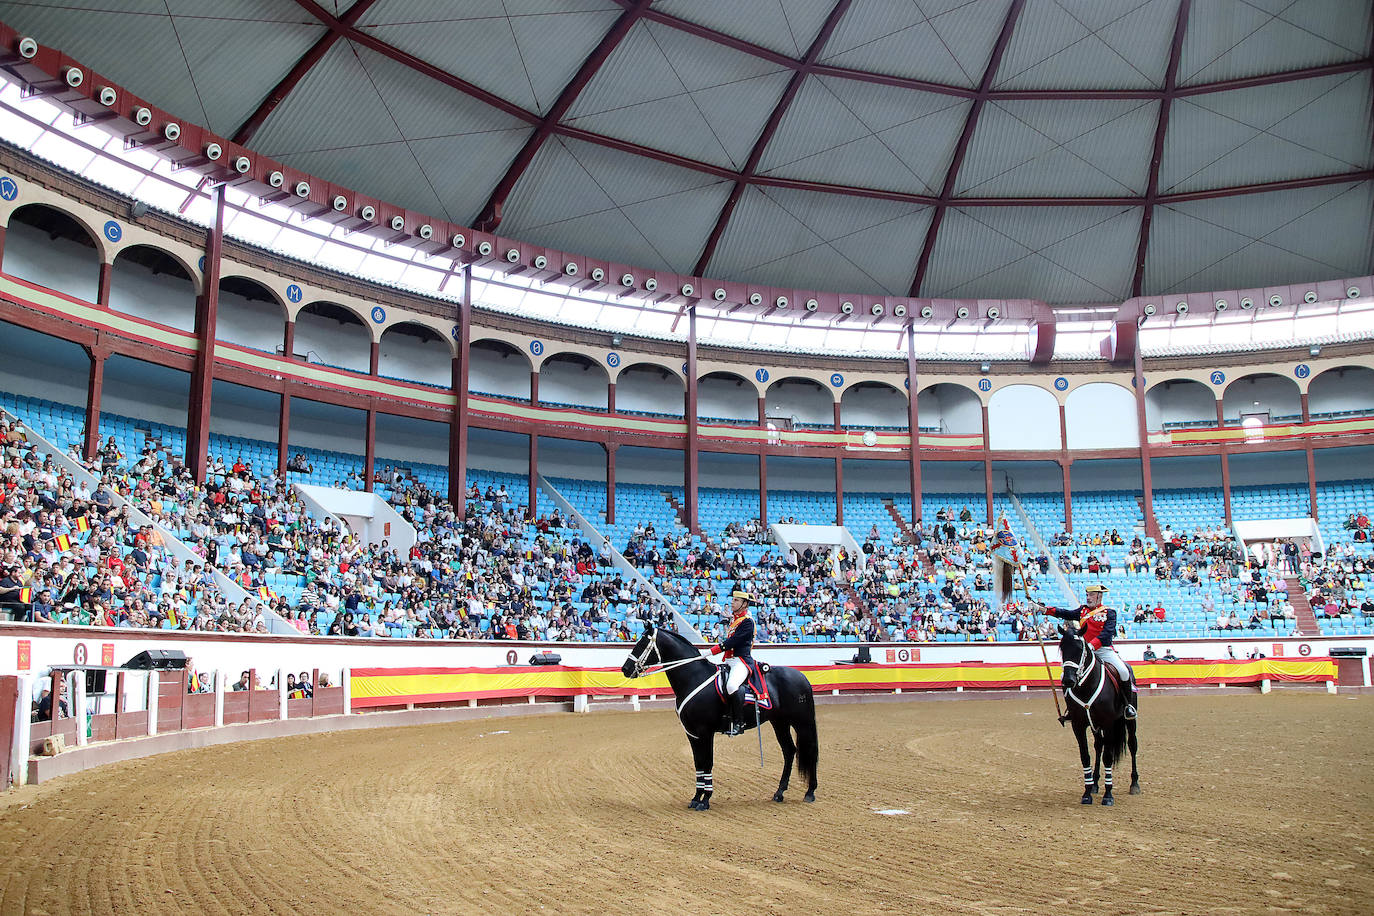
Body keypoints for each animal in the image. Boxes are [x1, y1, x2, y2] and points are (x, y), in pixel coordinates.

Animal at [623, 623, 813, 807]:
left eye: (642, 643)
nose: (625, 669)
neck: (695, 677)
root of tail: (802, 676)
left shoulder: (705, 731)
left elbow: (707, 762)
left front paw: (705, 800)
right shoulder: (692, 734)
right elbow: (698, 763)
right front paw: (696, 797)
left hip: (801, 722)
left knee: (808, 749)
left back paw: (810, 793)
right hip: (779, 722)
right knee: (789, 751)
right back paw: (779, 793)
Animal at [1060, 626, 1137, 807]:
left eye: (1080, 649)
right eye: (1062, 648)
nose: (1068, 680)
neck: (1086, 686)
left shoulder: (1108, 724)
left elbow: (1108, 758)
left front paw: (1108, 795)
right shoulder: (1078, 725)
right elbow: (1085, 756)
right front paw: (1087, 793)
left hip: (1130, 722)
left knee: (1132, 745)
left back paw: (1134, 784)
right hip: (1096, 727)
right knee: (1098, 746)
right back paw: (1094, 784)